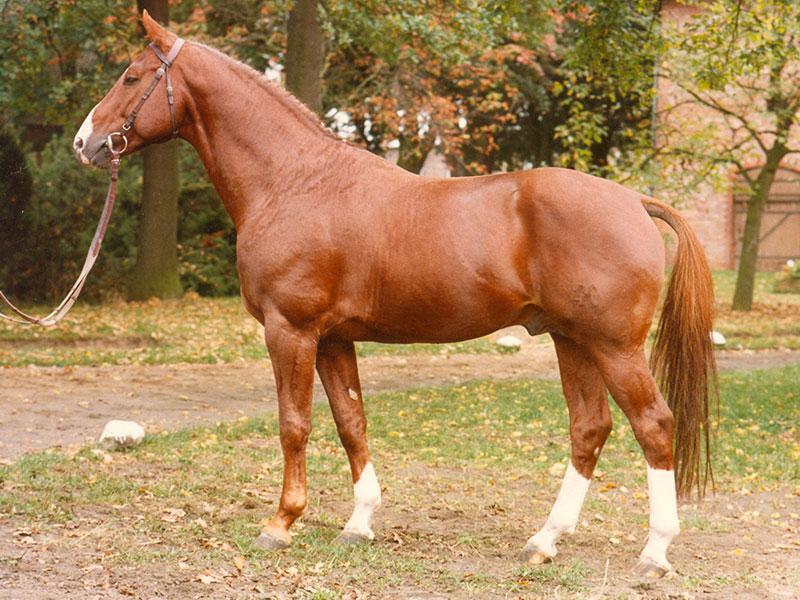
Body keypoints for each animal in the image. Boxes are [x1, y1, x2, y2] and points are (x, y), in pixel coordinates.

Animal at [72, 12, 716, 576]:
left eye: (131, 76)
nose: (85, 143)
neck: (293, 181)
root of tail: (634, 200)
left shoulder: (289, 330)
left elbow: (294, 424)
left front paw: (281, 523)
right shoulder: (333, 339)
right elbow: (350, 422)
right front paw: (358, 524)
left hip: (613, 347)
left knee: (654, 425)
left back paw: (655, 552)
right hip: (570, 340)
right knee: (590, 429)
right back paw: (544, 541)